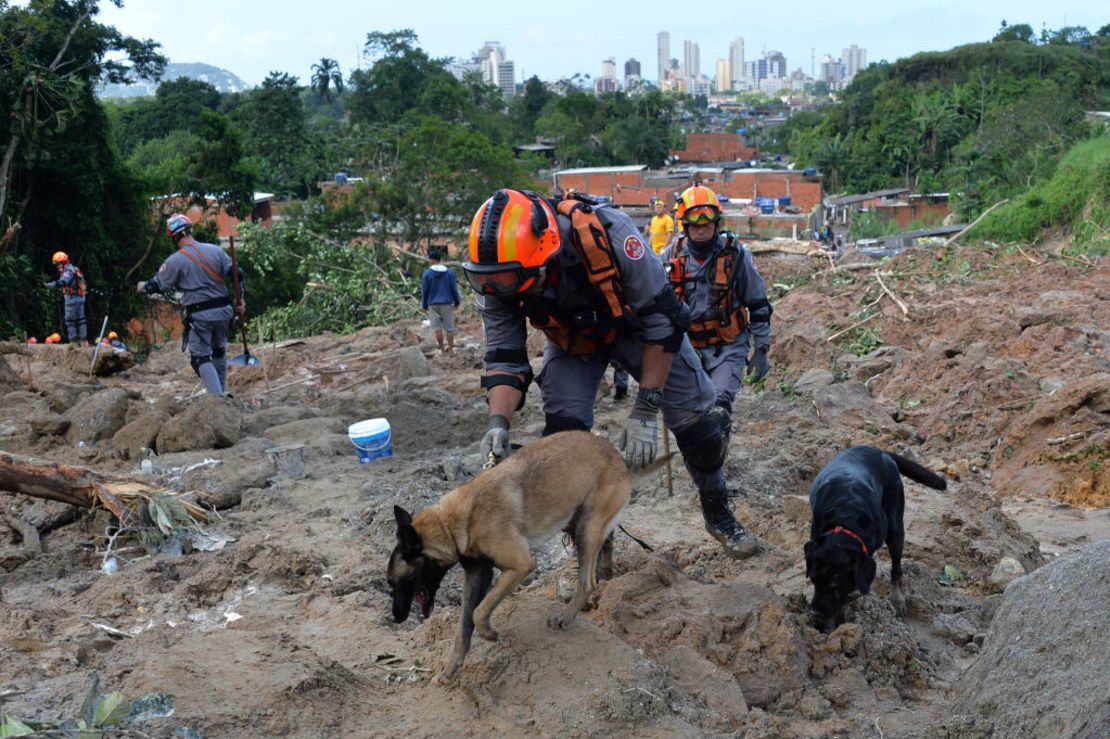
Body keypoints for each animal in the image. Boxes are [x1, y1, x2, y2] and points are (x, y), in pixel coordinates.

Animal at [386, 428, 670, 683]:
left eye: (397, 581)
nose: (395, 618)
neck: (450, 523)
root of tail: (620, 458)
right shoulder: (476, 577)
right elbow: (463, 626)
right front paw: (450, 668)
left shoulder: (520, 566)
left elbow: (479, 611)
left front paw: (488, 633)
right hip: (577, 521)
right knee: (606, 544)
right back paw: (606, 573)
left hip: (586, 530)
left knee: (587, 582)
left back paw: (565, 616)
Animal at [803, 446, 950, 630]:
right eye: (813, 579)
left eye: (834, 586)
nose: (815, 613)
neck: (846, 517)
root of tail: (878, 450)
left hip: (895, 525)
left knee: (896, 567)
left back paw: (898, 599)